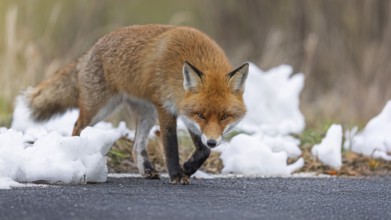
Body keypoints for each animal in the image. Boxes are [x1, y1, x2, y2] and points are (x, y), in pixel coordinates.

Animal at [26, 24, 250, 184]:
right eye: (201, 115)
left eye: (224, 116)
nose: (212, 141)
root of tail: (89, 51)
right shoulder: (166, 107)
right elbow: (171, 146)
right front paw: (177, 174)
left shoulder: (185, 113)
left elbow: (203, 151)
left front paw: (188, 167)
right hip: (99, 109)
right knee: (77, 127)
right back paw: (77, 158)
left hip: (146, 115)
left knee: (136, 147)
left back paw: (147, 170)